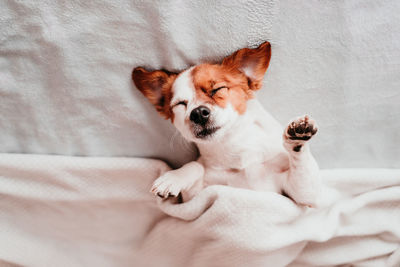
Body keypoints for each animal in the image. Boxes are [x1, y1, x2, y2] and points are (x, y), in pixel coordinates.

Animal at [133, 42, 320, 208]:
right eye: (180, 104)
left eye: (217, 89)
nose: (198, 112)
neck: (234, 148)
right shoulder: (194, 199)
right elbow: (195, 165)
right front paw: (173, 178)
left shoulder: (302, 195)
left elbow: (303, 169)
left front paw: (298, 136)